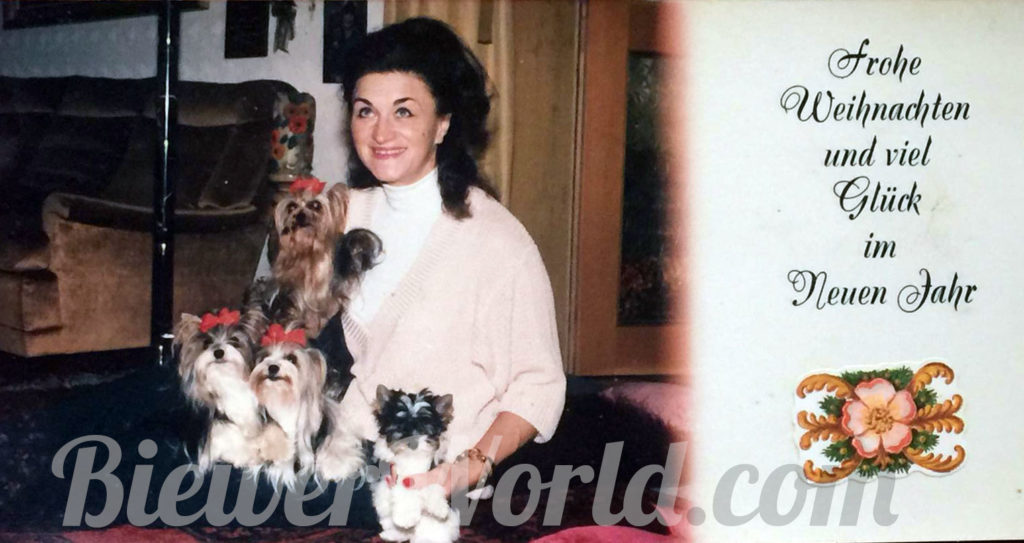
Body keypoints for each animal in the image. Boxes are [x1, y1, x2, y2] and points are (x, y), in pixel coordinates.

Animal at [372, 385, 456, 540]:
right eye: (400, 427)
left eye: (424, 429)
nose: (413, 443)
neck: (412, 457)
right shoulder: (396, 476)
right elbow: (405, 489)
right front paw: (406, 517)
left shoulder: (431, 469)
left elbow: (432, 483)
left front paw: (439, 506)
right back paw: (392, 534)